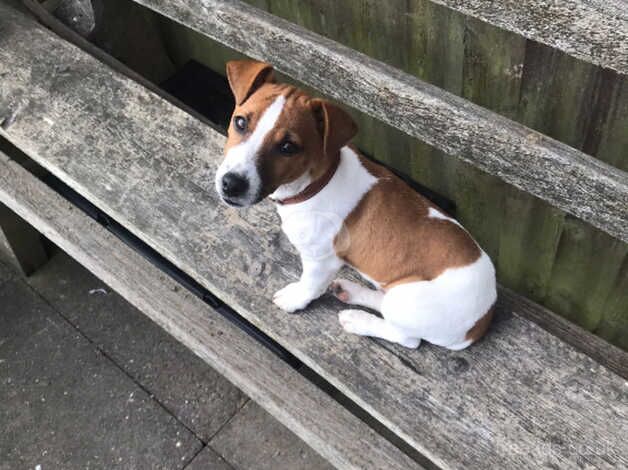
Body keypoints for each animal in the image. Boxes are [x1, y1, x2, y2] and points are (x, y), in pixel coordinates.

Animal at [216, 59, 496, 348]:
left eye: (287, 147)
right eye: (240, 122)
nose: (231, 184)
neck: (316, 184)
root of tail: (482, 321)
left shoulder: (323, 260)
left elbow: (309, 285)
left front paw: (295, 299)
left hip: (407, 301)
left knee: (407, 337)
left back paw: (358, 320)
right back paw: (350, 292)